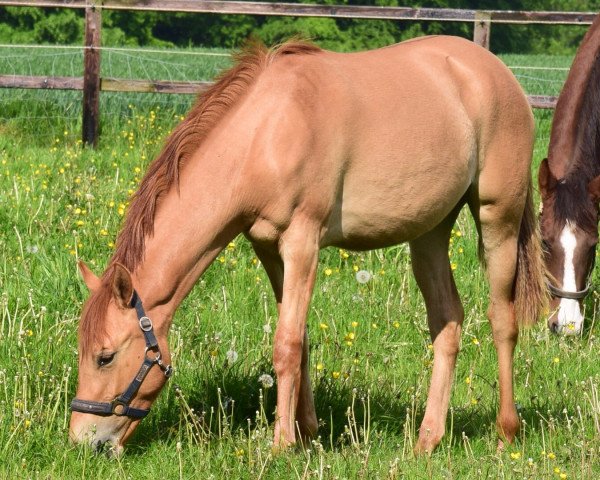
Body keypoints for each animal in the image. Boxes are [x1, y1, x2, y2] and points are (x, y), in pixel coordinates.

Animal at [68, 36, 548, 454]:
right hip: (429, 232)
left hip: (498, 219)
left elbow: (286, 344)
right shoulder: (268, 248)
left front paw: (281, 445)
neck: (266, 132)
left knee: (502, 320)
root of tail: (497, 73)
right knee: (447, 322)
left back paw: (507, 430)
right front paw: (307, 431)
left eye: (105, 357)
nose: (82, 441)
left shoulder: (302, 241)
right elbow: (298, 337)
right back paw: (427, 439)